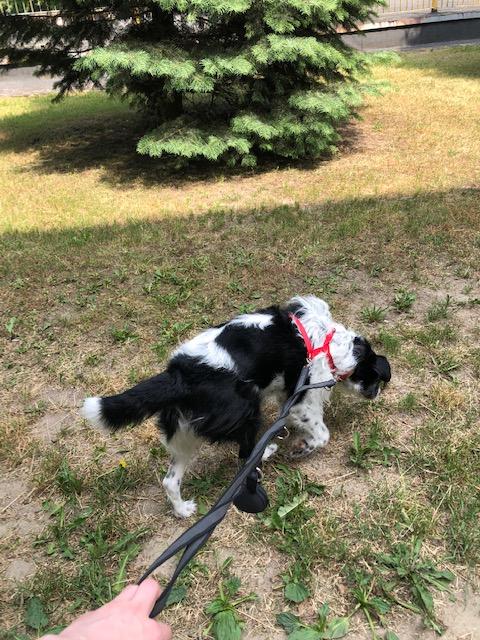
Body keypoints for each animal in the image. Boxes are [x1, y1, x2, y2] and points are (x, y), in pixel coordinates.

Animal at [81, 296, 391, 518]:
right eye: (375, 378)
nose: (376, 394)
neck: (330, 343)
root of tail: (179, 374)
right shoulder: (301, 402)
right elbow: (322, 435)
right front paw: (301, 449)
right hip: (246, 409)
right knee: (245, 453)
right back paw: (266, 451)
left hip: (183, 434)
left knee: (170, 481)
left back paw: (182, 511)